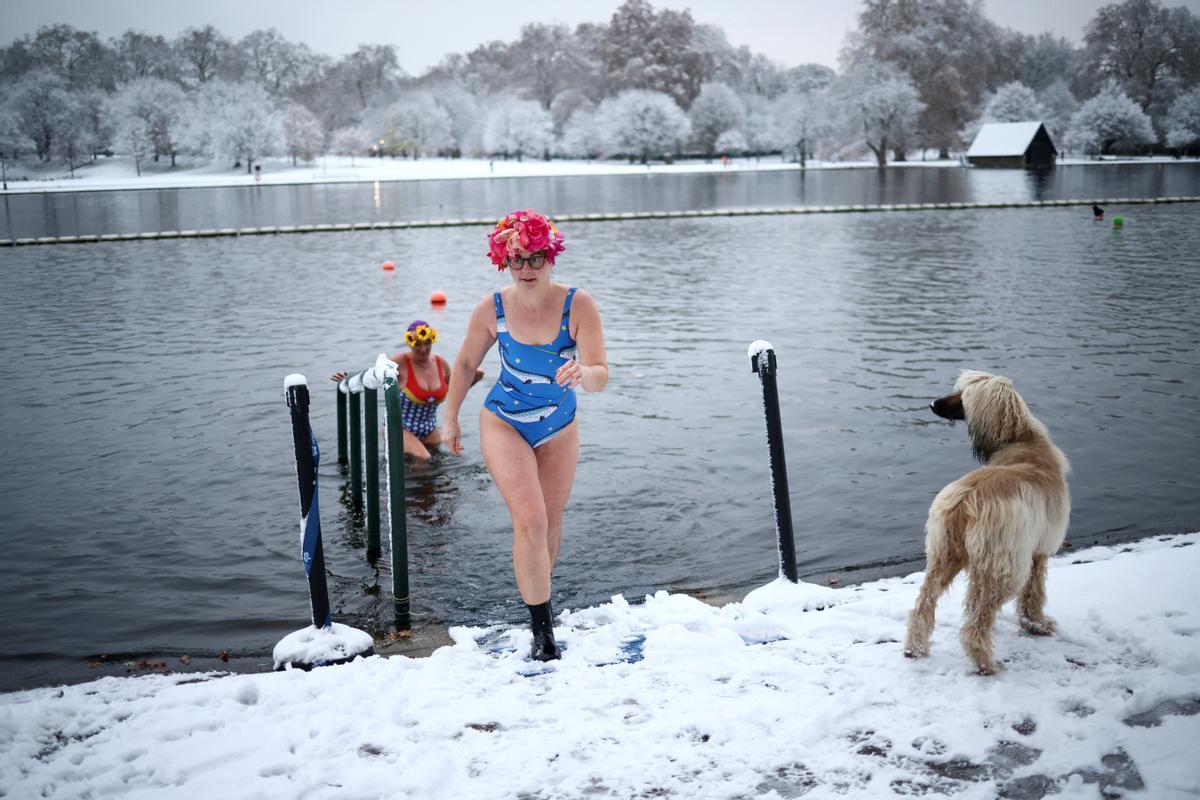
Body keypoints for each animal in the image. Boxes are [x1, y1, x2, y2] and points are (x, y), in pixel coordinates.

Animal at [902, 371, 1070, 671]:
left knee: (924, 603)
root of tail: (964, 501)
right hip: (1006, 567)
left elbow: (971, 598)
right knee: (979, 621)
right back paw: (986, 663)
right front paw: (1036, 624)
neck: (1023, 442)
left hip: (945, 553)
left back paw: (915, 649)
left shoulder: (981, 563)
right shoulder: (1038, 550)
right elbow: (1035, 592)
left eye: (962, 395)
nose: (932, 404)